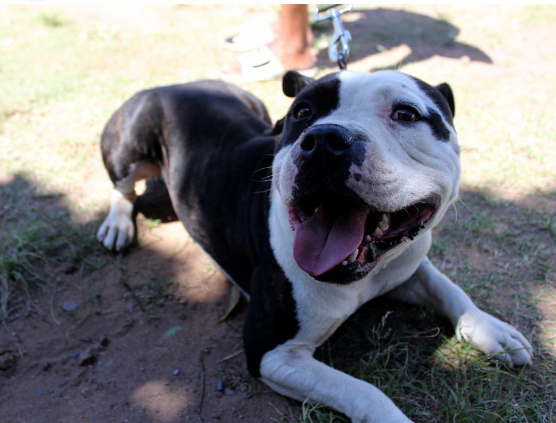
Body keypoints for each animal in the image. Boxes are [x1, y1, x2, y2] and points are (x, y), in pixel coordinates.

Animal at [97, 71, 532, 422]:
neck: (367, 274)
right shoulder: (272, 353)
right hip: (128, 146)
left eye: (407, 114)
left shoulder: (409, 262)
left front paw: (493, 332)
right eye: (302, 112)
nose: (324, 139)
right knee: (122, 187)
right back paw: (117, 225)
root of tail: (175, 85)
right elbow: (364, 391)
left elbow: (449, 289)